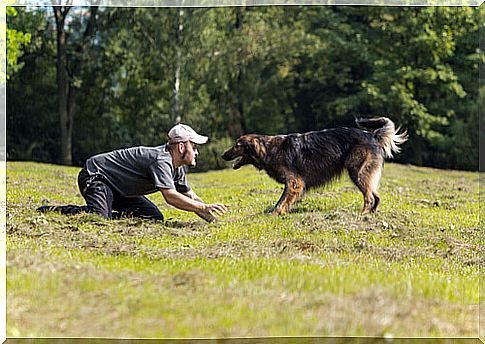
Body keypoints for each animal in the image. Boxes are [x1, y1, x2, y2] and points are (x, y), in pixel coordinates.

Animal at [221, 118, 406, 215]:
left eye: (237, 145)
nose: (223, 155)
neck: (269, 149)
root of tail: (372, 136)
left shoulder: (294, 182)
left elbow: (281, 201)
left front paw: (274, 214)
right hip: (363, 174)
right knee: (376, 196)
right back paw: (371, 214)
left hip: (357, 172)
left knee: (369, 197)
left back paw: (363, 214)